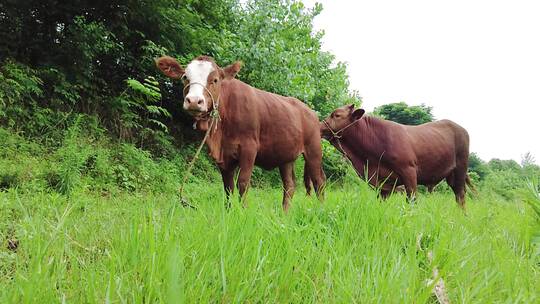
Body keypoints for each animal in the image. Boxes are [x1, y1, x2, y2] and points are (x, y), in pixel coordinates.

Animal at [156, 55, 324, 211]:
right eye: (185, 77)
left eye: (215, 80)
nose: (194, 101)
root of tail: (311, 112)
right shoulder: (223, 156)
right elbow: (228, 187)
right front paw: (229, 212)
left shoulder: (249, 147)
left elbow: (242, 183)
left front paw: (243, 212)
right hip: (285, 156)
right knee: (289, 185)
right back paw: (285, 213)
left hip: (313, 150)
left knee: (319, 181)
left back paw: (321, 210)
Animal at [320, 104, 468, 209]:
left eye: (337, 115)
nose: (320, 126)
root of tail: (460, 128)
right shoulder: (382, 184)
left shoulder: (409, 172)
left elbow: (412, 200)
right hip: (451, 175)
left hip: (460, 169)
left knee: (460, 196)